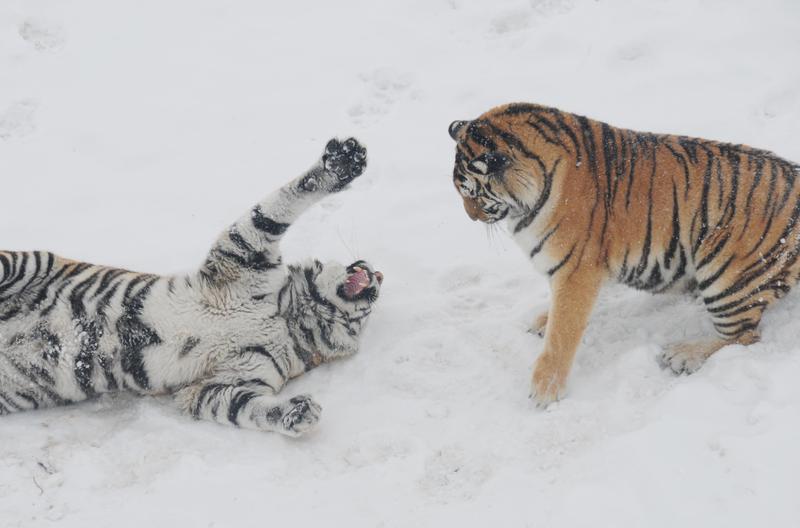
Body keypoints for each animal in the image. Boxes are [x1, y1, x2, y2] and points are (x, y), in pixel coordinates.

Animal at [0, 137, 384, 438]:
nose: (377, 273)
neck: (290, 319)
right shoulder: (244, 251)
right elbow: (280, 205)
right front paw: (343, 162)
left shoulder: (221, 384)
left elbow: (244, 408)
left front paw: (296, 414)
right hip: (26, 261)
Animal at [446, 104, 800, 408]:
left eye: (472, 193)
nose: (470, 217)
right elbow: (559, 312)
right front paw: (543, 322)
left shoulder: (577, 270)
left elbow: (563, 332)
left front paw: (545, 389)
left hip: (726, 276)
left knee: (746, 335)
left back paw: (683, 354)